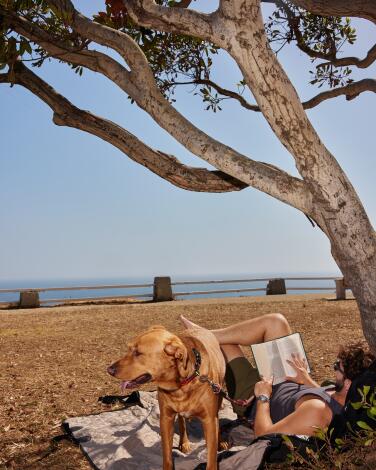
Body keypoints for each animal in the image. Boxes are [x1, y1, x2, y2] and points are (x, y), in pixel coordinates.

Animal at [108, 324, 226, 470]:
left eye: (138, 353)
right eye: (128, 349)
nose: (109, 370)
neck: (182, 384)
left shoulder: (209, 420)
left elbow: (211, 457)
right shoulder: (165, 418)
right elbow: (167, 455)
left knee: (217, 420)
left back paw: (221, 441)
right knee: (181, 421)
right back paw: (184, 442)